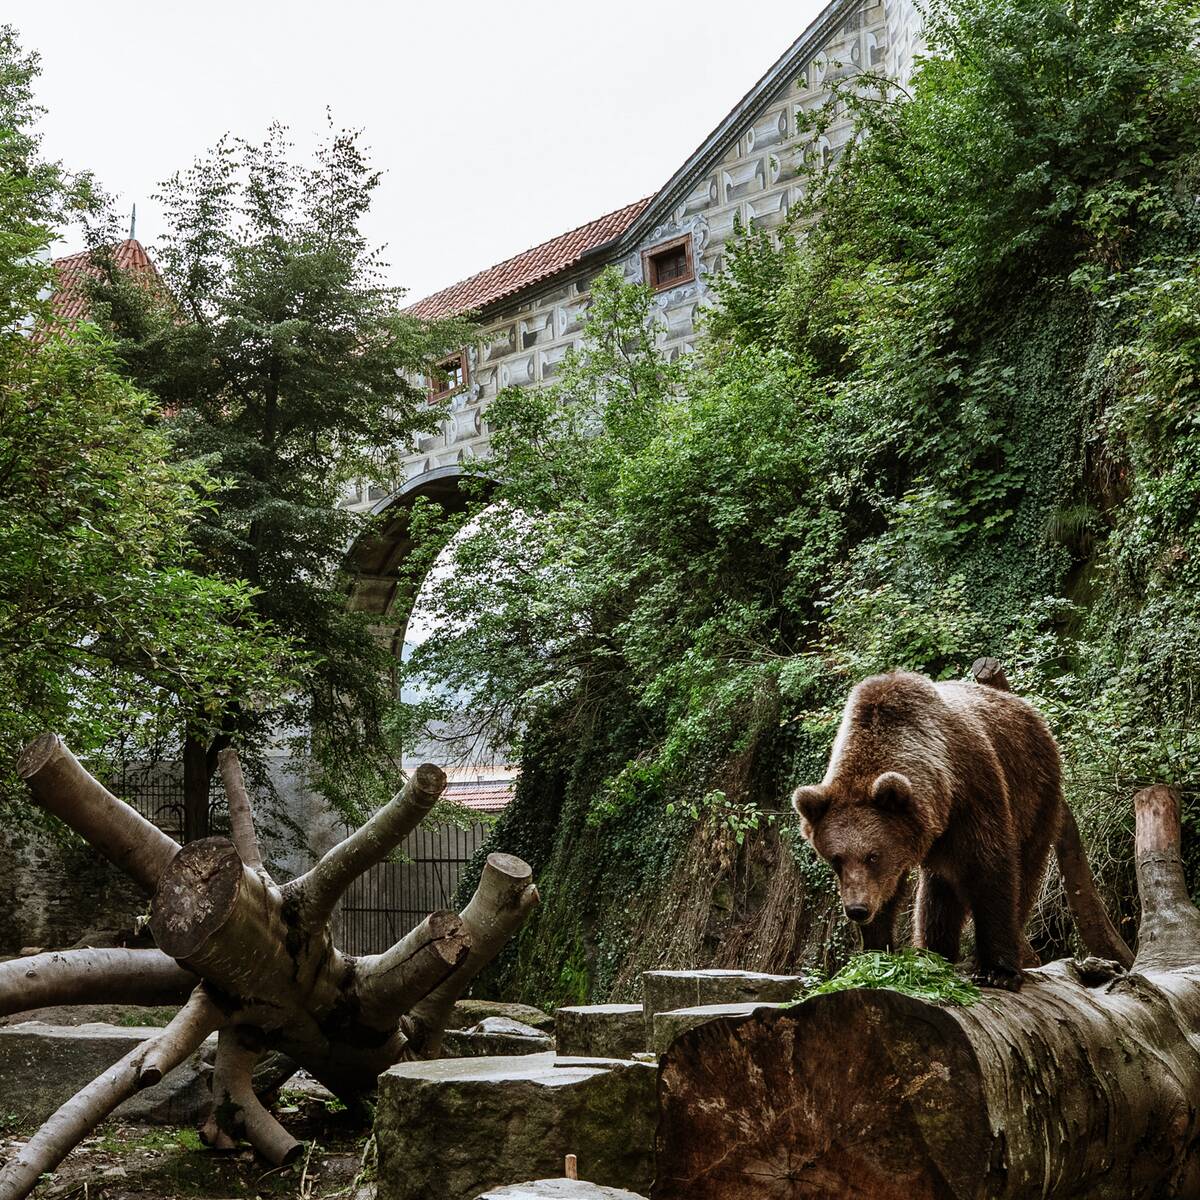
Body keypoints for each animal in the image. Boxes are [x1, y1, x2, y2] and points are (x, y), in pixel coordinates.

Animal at [792, 672, 1065, 988]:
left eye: (873, 855)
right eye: (836, 859)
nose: (857, 909)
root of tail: (1026, 707)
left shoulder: (974, 795)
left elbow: (990, 870)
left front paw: (998, 971)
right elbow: (890, 893)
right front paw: (875, 955)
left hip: (1036, 793)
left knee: (1026, 870)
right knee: (939, 891)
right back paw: (933, 952)